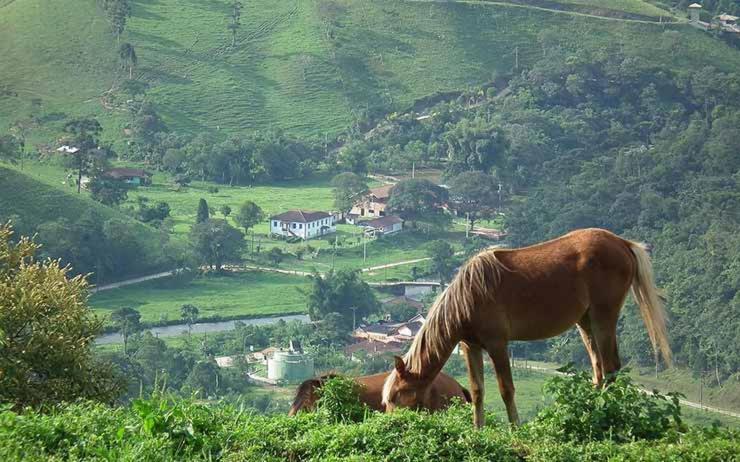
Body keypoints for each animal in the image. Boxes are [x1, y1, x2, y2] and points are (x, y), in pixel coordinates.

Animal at [382, 229, 672, 428]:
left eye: (397, 395)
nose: (392, 423)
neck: (468, 296)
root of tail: (623, 243)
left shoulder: (498, 344)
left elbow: (506, 389)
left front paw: (515, 428)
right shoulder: (470, 346)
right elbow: (477, 392)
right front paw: (477, 430)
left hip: (604, 317)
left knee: (611, 368)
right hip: (586, 322)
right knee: (598, 370)